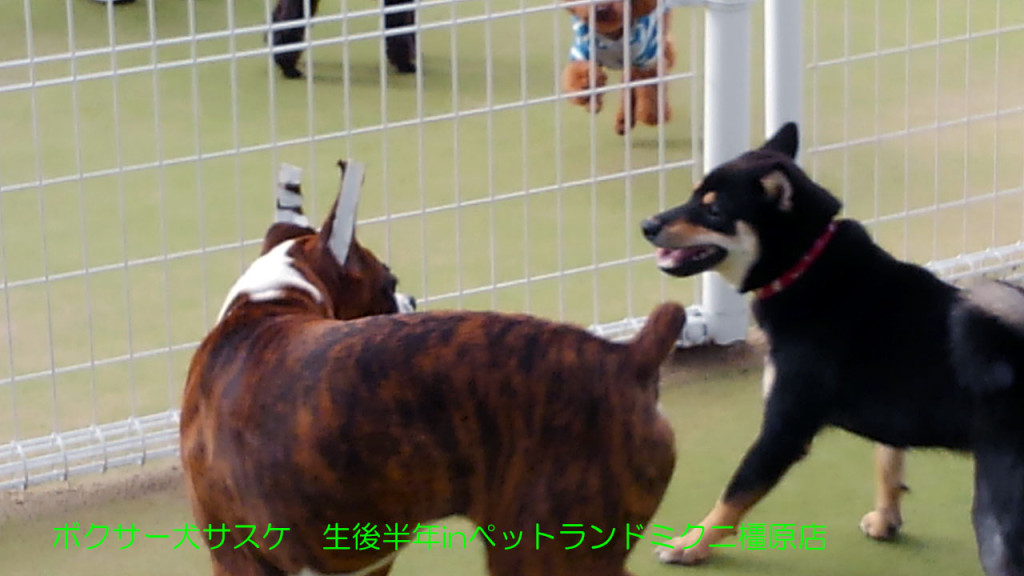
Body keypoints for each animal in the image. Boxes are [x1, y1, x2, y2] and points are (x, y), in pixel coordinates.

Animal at [182, 157, 688, 573]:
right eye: (390, 283)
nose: (410, 299)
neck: (268, 304)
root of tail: (627, 358)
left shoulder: (234, 554)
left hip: (545, 551)